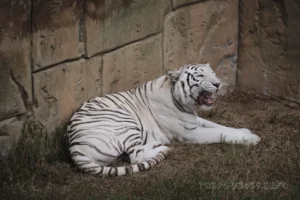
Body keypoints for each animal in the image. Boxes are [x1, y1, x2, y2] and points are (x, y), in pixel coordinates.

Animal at [65, 63, 260, 177]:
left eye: (212, 73)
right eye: (201, 76)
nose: (217, 84)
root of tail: (74, 149)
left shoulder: (194, 121)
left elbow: (220, 126)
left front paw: (244, 131)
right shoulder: (190, 133)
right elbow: (219, 133)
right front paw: (251, 138)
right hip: (125, 122)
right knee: (135, 155)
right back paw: (163, 148)